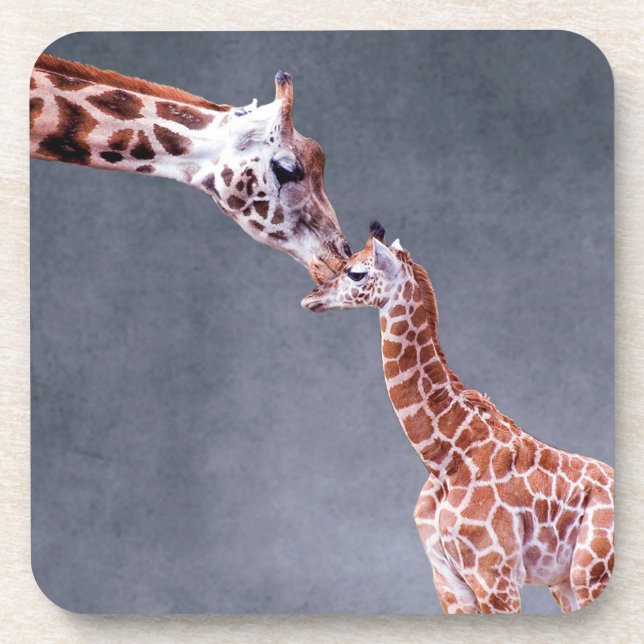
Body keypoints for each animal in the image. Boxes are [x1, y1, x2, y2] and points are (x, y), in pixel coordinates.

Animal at [301, 222, 614, 614]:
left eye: (355, 272)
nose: (311, 297)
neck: (445, 458)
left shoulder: (495, 576)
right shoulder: (448, 581)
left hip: (591, 572)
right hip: (566, 582)